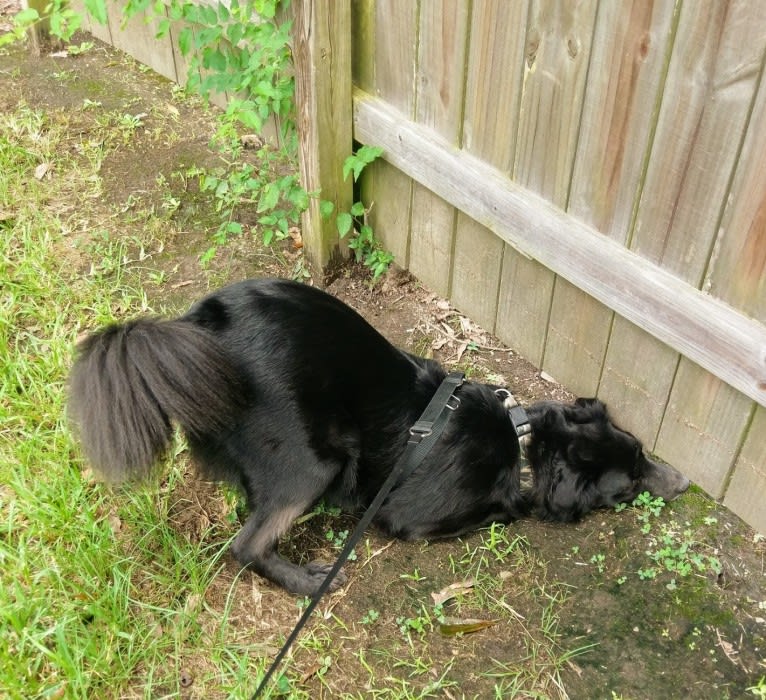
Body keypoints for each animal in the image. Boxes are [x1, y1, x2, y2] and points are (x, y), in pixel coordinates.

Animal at [70, 276, 688, 592]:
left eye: (642, 454)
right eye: (628, 487)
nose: (683, 483)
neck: (524, 443)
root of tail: (202, 329)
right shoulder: (413, 519)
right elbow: (501, 510)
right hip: (314, 463)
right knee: (245, 547)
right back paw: (306, 581)